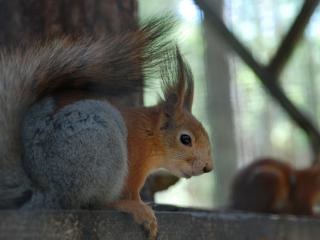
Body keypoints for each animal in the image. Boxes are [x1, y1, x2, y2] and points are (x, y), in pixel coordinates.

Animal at [0, 17, 212, 240]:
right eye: (186, 139)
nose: (208, 167)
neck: (150, 135)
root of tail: (44, 190)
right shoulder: (134, 165)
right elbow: (132, 192)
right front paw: (140, 208)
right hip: (97, 142)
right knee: (94, 202)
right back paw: (126, 206)